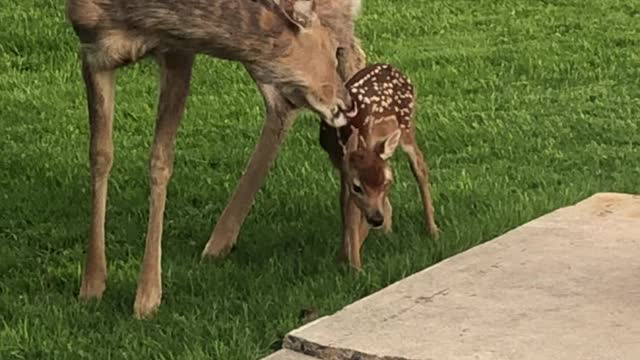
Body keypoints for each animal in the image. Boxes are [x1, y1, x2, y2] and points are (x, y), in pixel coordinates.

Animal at [66, 0, 364, 318]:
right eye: (327, 51)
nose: (346, 103)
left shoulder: (179, 51)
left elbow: (160, 160)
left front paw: (147, 297)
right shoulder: (93, 48)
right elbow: (100, 154)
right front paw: (92, 285)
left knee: (355, 58)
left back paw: (355, 241)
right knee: (283, 104)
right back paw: (220, 242)